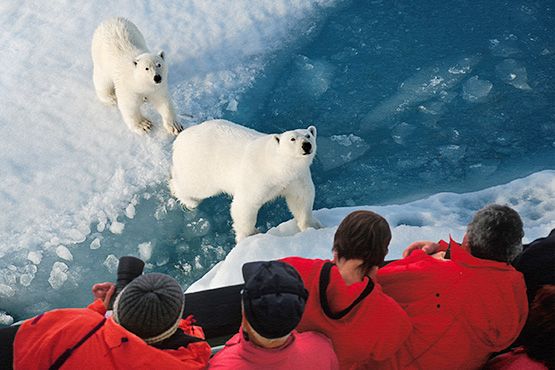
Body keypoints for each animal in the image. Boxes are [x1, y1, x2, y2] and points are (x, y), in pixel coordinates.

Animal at [172, 118, 324, 244]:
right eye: (292, 139)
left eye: (308, 135)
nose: (306, 145)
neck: (277, 166)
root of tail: (182, 137)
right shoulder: (258, 177)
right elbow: (245, 205)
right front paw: (250, 235)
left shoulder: (296, 178)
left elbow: (301, 199)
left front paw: (312, 226)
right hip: (202, 166)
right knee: (195, 186)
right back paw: (189, 200)